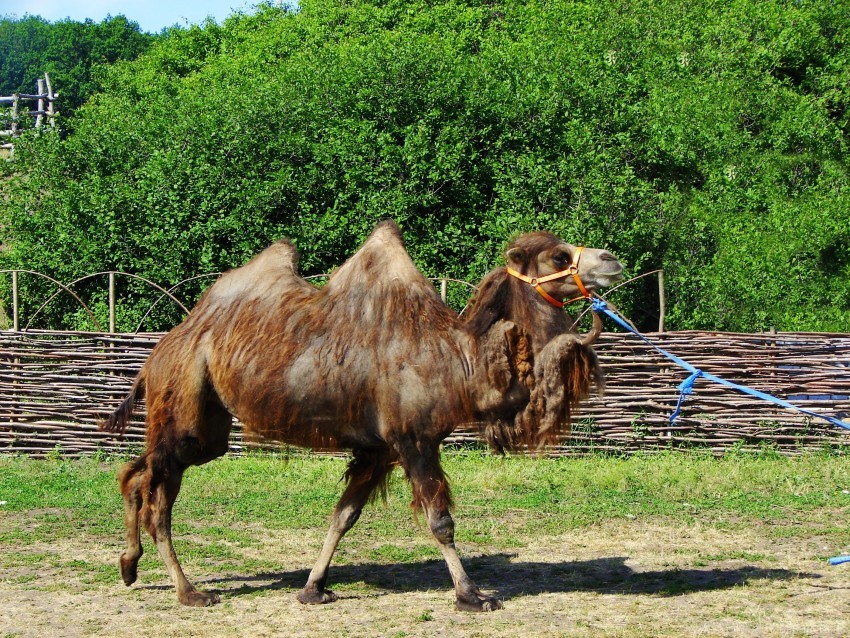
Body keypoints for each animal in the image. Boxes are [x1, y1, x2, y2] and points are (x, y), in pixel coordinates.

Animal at [101, 221, 624, 616]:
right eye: (557, 256)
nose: (611, 259)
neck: (460, 362)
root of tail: (160, 351)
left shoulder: (378, 448)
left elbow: (343, 516)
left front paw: (313, 588)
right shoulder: (414, 438)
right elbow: (441, 522)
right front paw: (472, 596)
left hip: (207, 426)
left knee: (138, 473)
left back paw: (130, 565)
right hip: (186, 404)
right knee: (156, 491)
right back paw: (188, 591)